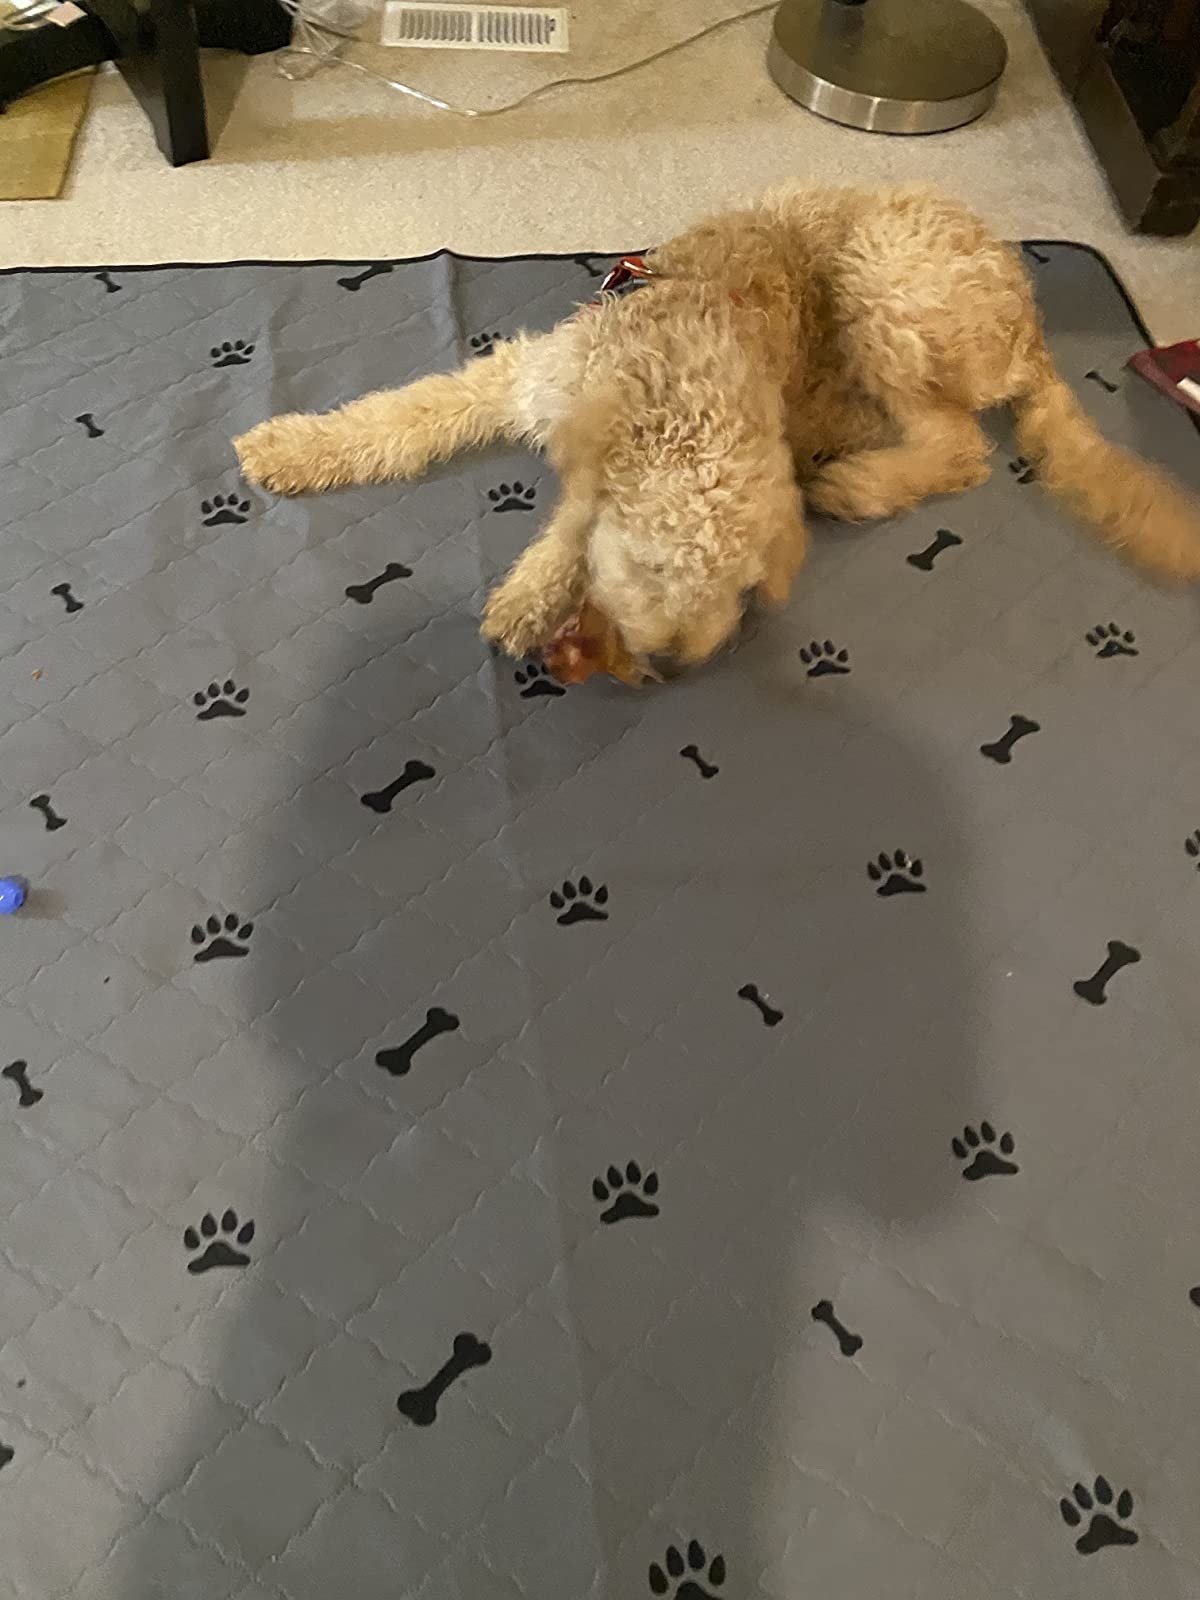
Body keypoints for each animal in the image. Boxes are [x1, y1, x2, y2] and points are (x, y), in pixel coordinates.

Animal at [235, 185, 1200, 668]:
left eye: (739, 587)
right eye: (652, 568)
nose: (674, 663)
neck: (674, 364)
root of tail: (1029, 316)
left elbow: (568, 524)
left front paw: (530, 592)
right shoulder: (529, 379)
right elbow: (408, 412)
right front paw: (291, 447)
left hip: (895, 302)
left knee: (959, 448)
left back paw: (857, 480)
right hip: (879, 276)